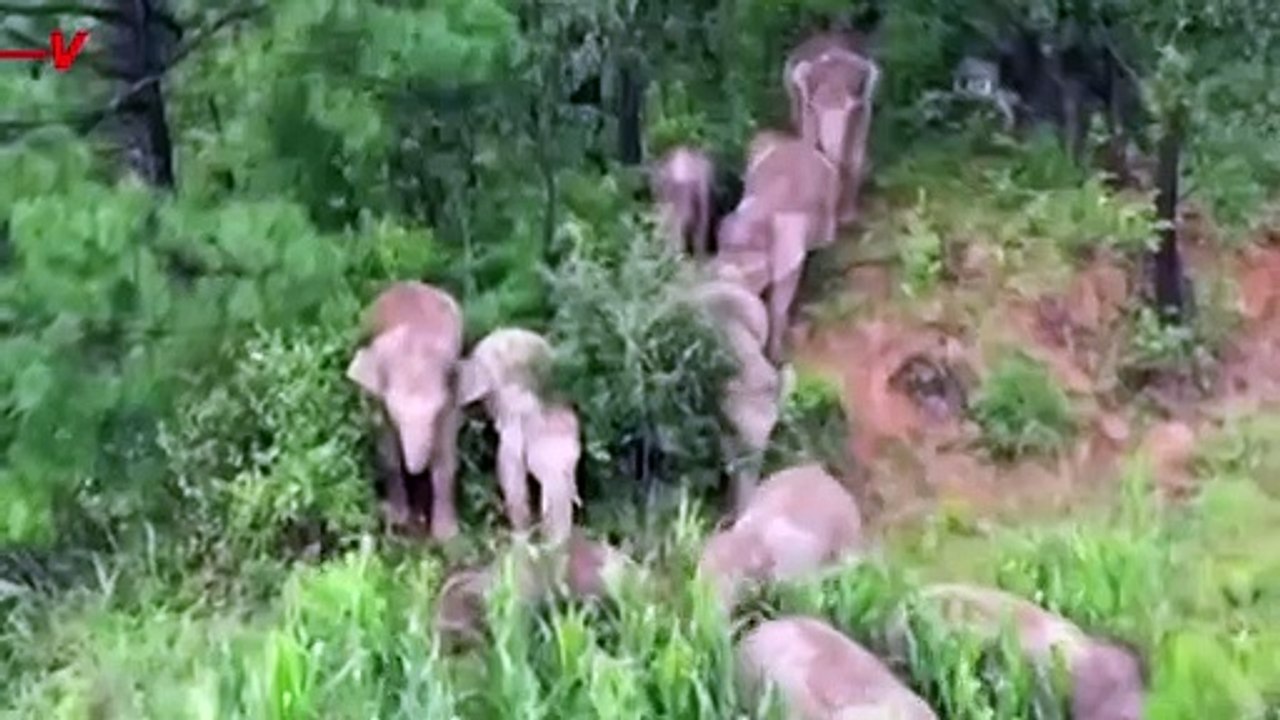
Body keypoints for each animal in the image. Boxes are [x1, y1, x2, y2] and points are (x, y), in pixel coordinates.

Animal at [347, 281, 463, 540]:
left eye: (437, 410)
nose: (417, 471)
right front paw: (397, 519)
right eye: (395, 414)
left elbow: (447, 454)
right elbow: (387, 452)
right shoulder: (378, 398)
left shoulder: (452, 393)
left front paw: (447, 535)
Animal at [784, 32, 881, 225]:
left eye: (854, 108)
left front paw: (848, 217)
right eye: (812, 107)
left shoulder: (865, 112)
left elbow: (856, 156)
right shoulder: (806, 111)